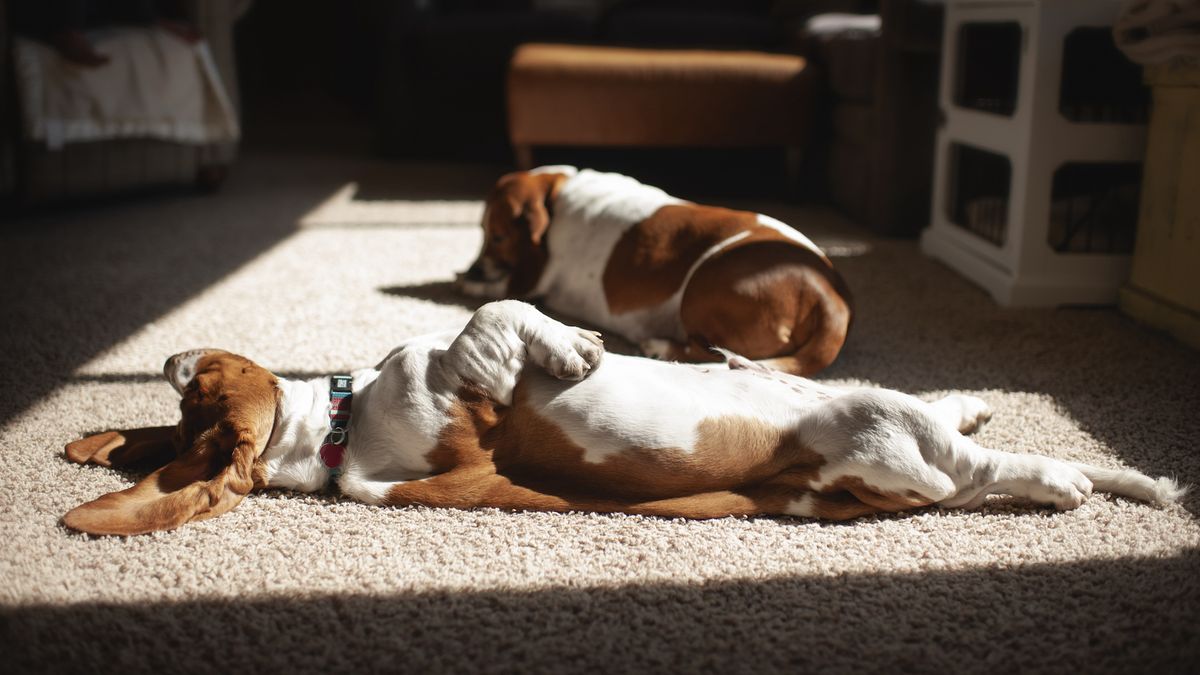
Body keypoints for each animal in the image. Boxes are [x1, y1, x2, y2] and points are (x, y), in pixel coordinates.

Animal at [456, 163, 854, 372]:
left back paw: (660, 346)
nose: (474, 269)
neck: (556, 193)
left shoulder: (538, 280)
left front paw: (472, 285)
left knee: (707, 351)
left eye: (498, 236)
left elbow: (505, 289)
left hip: (699, 290)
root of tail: (829, 296)